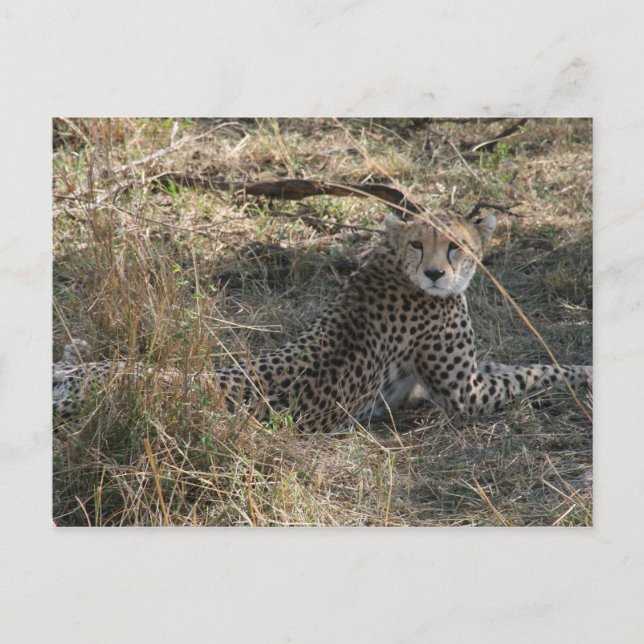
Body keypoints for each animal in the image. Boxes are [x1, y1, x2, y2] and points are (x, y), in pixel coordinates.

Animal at [53, 209, 592, 433]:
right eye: (419, 244)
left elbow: (516, 364)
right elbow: (536, 371)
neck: (393, 263)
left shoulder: (461, 378)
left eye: (455, 246)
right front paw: (585, 373)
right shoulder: (467, 395)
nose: (436, 273)